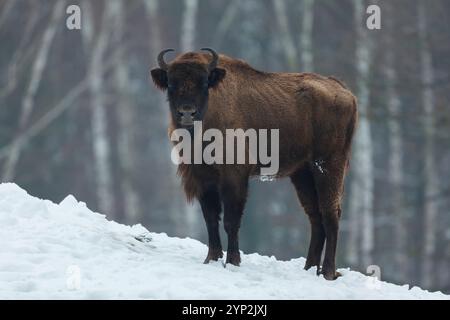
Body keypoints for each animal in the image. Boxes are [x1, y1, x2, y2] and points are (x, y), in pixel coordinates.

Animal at [152, 47, 358, 280]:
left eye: (204, 83)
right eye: (171, 84)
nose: (187, 112)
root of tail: (344, 92)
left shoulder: (234, 177)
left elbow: (231, 220)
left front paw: (232, 261)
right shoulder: (203, 179)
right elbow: (211, 219)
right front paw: (211, 259)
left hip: (328, 165)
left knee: (331, 214)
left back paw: (328, 272)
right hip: (303, 173)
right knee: (315, 216)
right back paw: (309, 268)